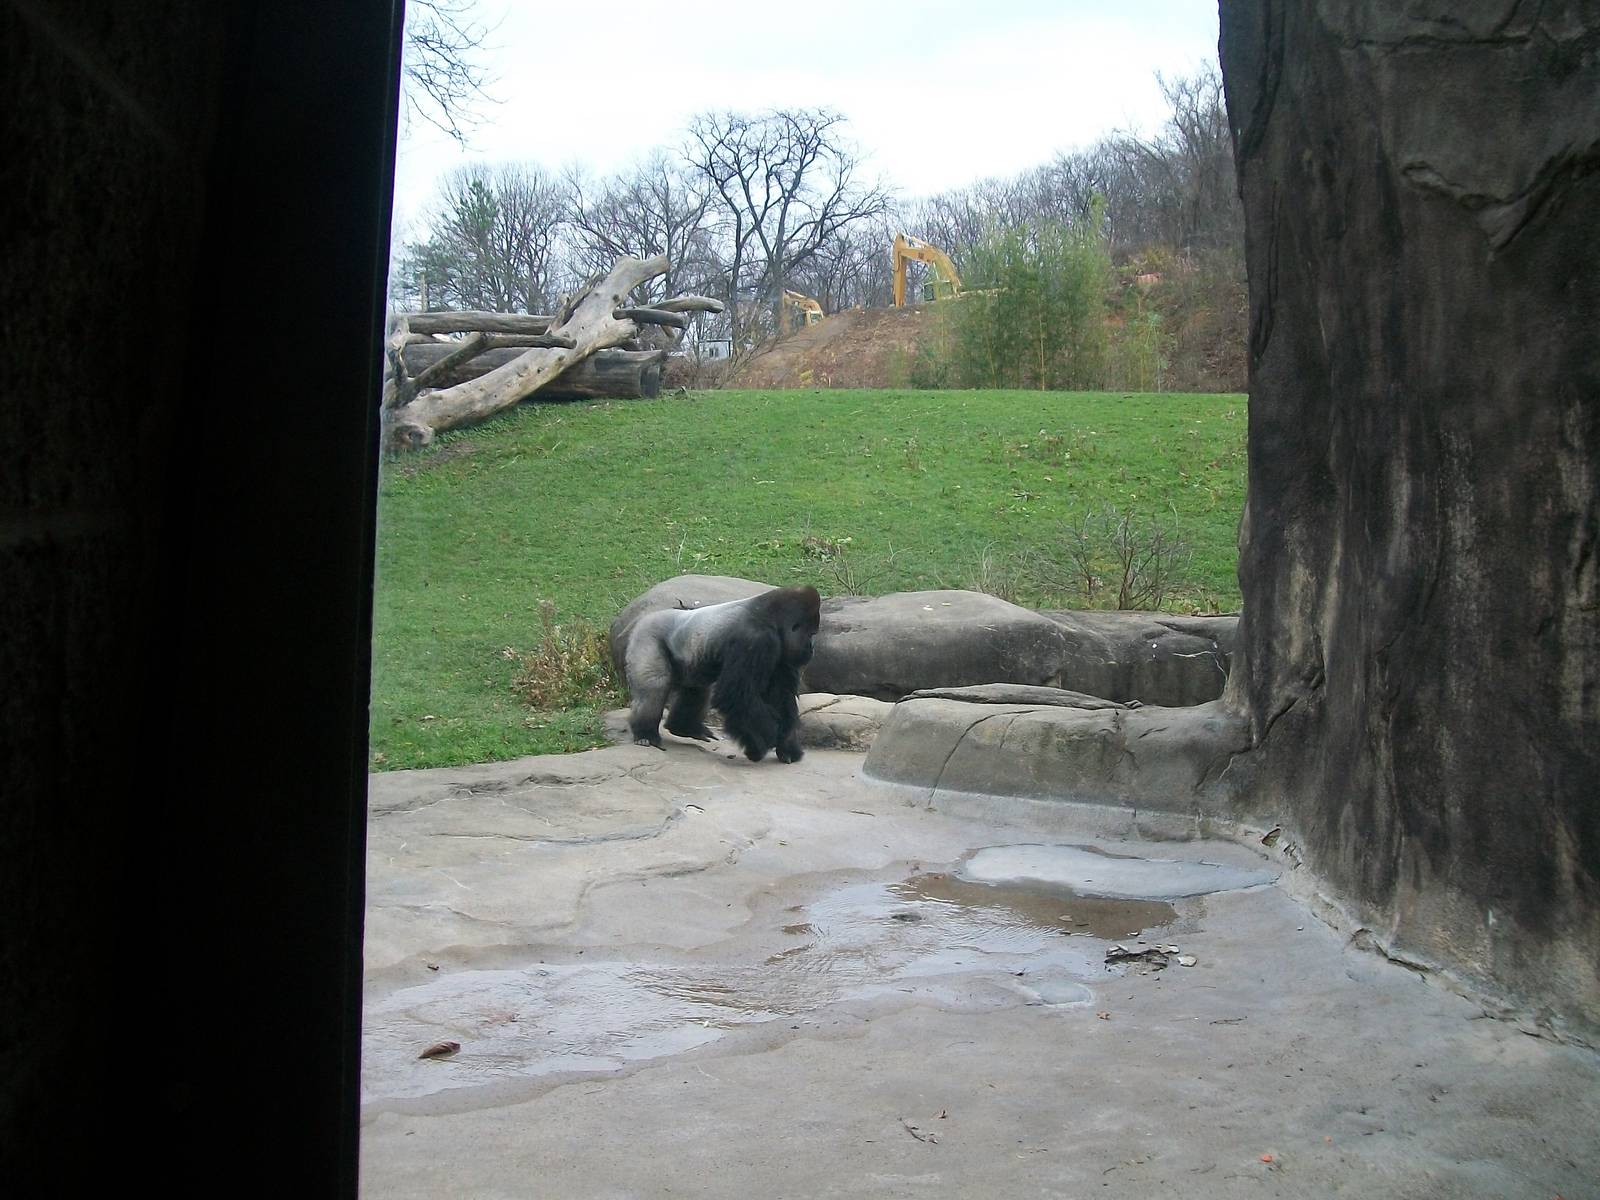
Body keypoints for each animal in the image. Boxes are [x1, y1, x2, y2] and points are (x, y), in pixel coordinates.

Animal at [622, 585, 821, 763]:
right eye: (810, 634)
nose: (812, 649)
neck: (771, 618)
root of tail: (643, 619)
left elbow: (781, 696)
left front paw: (787, 746)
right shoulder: (756, 639)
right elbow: (737, 696)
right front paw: (764, 741)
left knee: (698, 688)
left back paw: (684, 727)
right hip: (646, 636)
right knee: (655, 686)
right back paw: (646, 733)